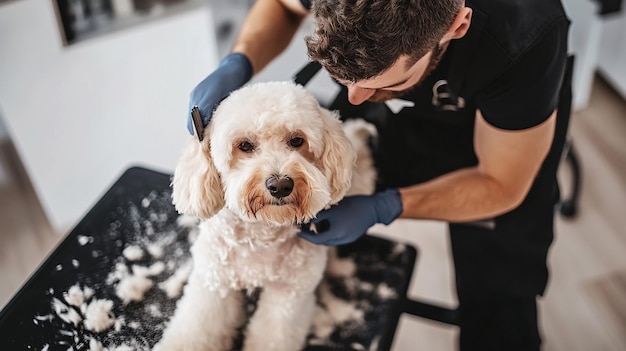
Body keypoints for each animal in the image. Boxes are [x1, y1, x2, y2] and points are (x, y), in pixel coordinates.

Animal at [154, 81, 370, 350]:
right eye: (245, 145)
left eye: (296, 140)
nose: (280, 185)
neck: (262, 233)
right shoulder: (214, 285)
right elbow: (196, 330)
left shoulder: (287, 298)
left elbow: (272, 335)